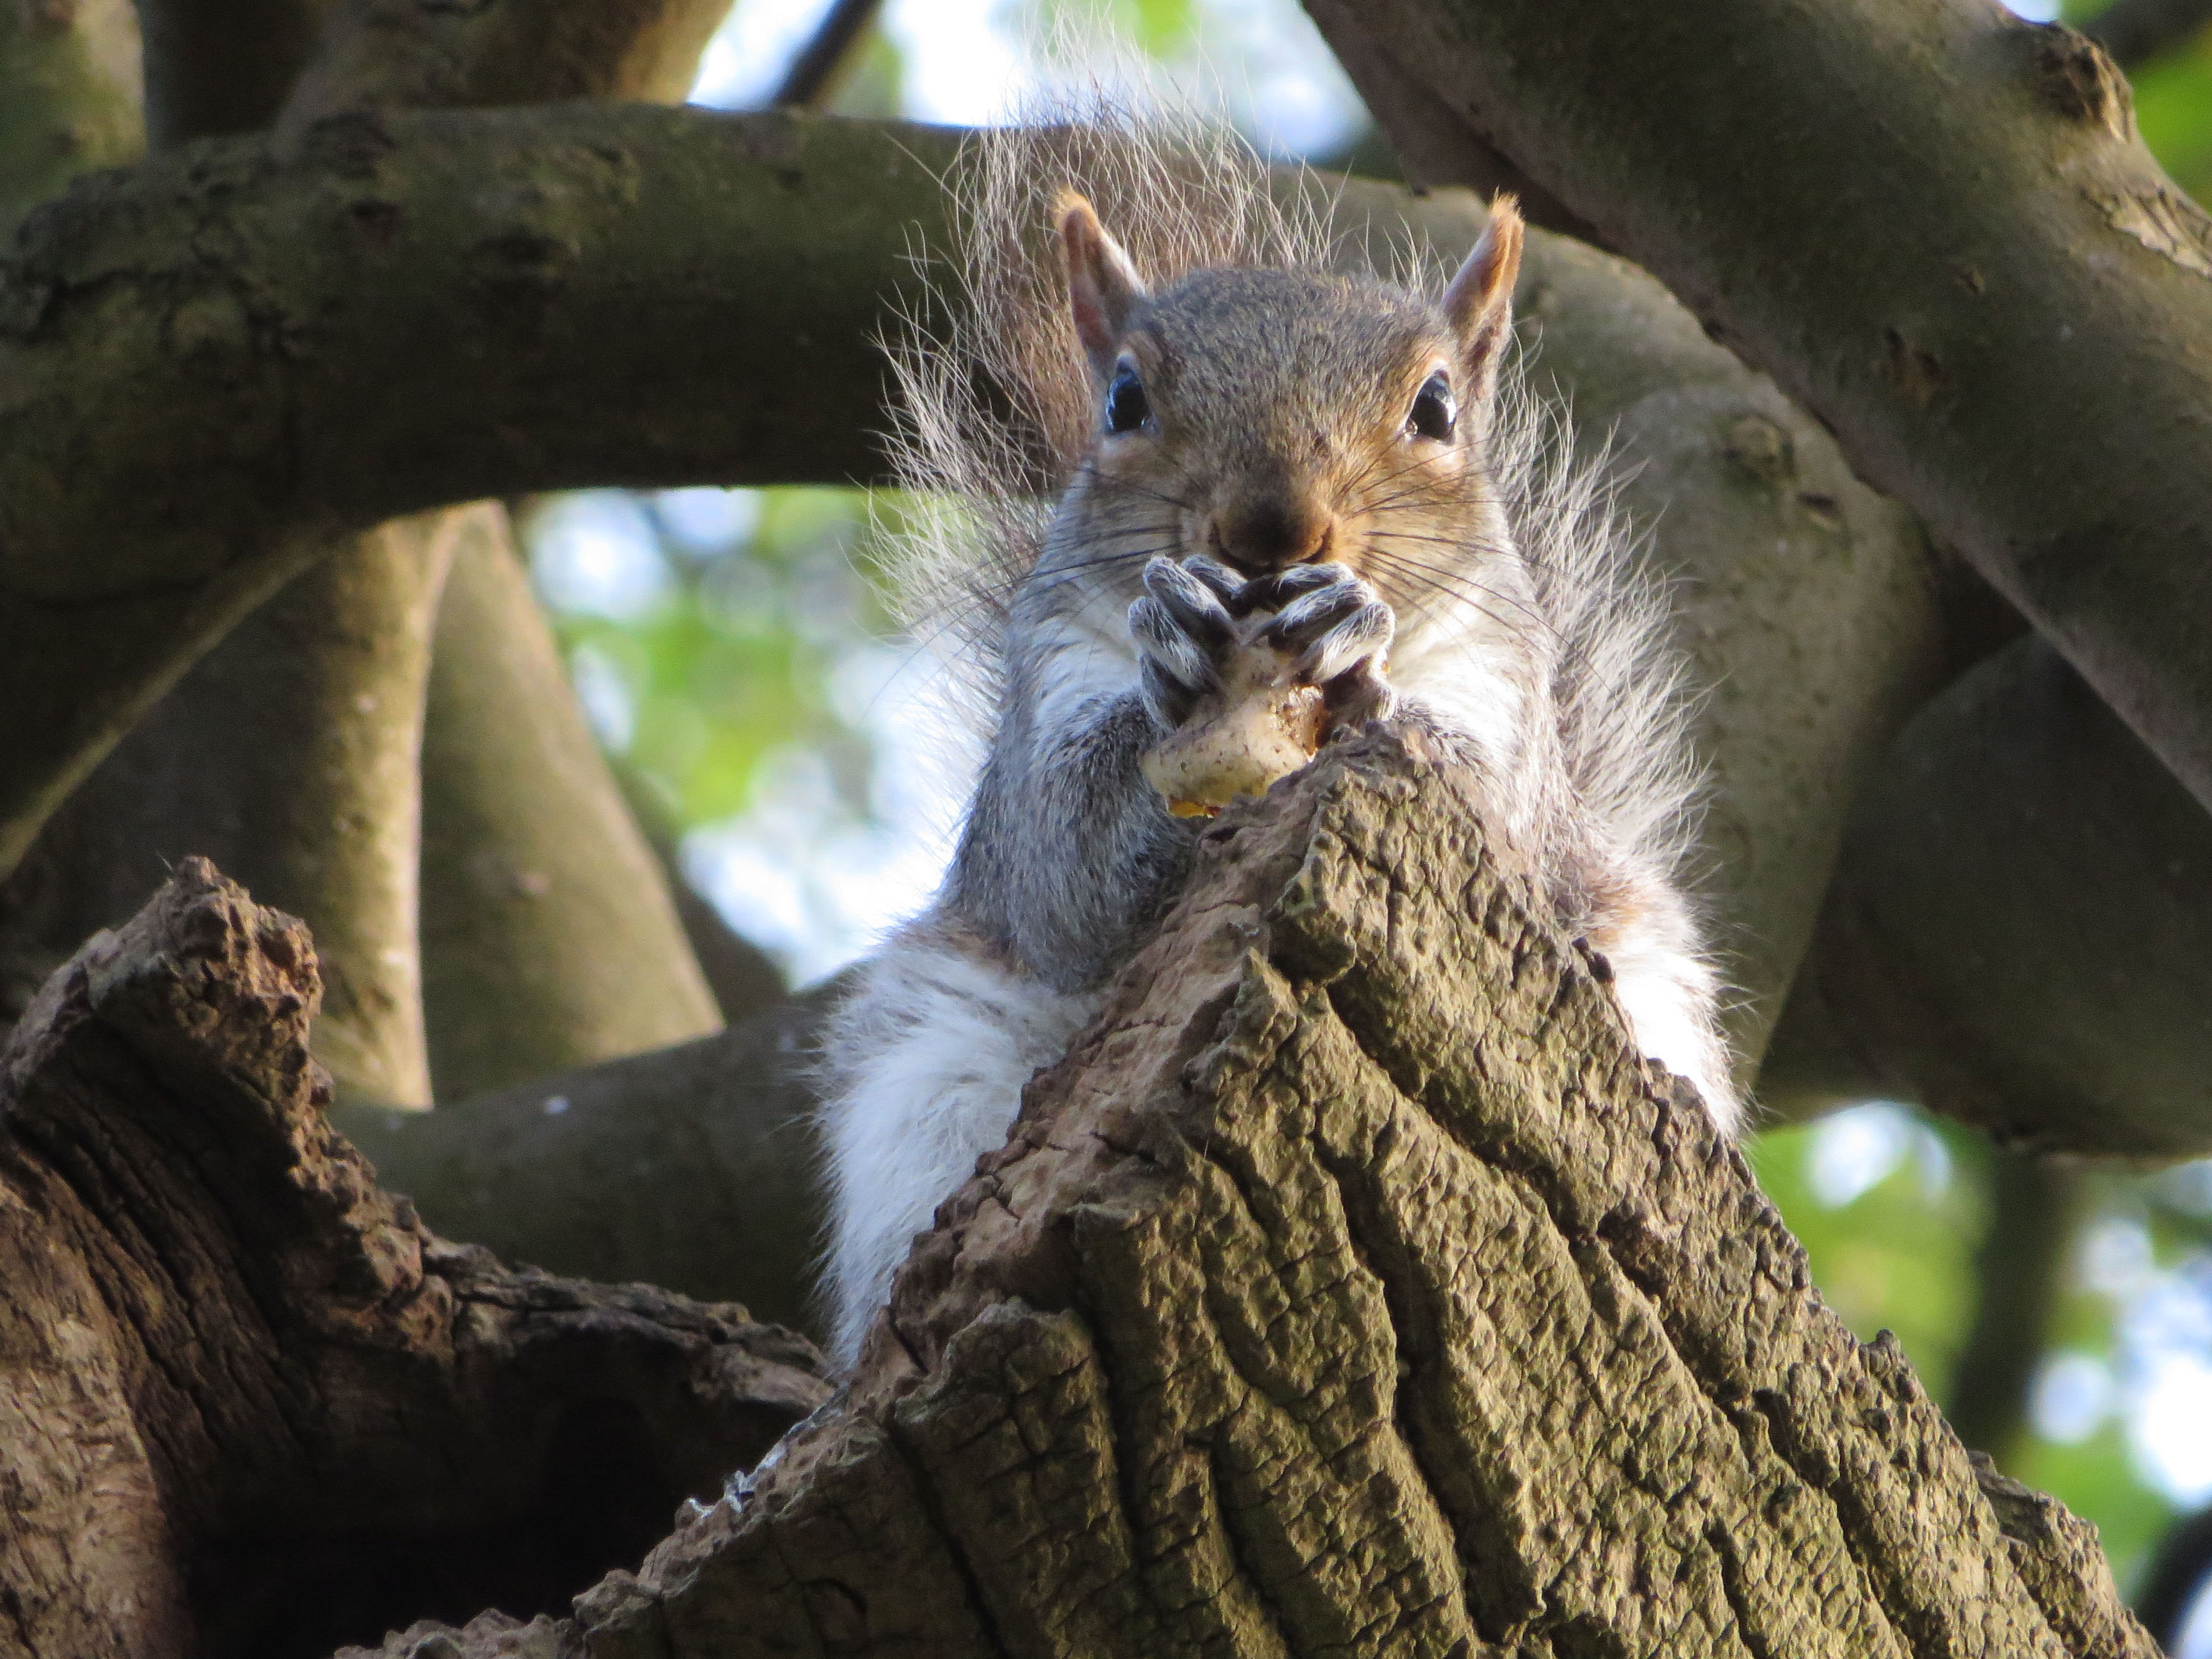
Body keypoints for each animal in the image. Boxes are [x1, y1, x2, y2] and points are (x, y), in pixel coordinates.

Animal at [816, 113, 1736, 1363]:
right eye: (1123, 401)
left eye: (1437, 409)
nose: (1271, 528)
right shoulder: (1040, 699)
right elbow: (1066, 867)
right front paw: (1169, 655)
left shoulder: (1508, 703)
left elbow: (1493, 826)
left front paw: (1358, 658)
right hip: (931, 1085)